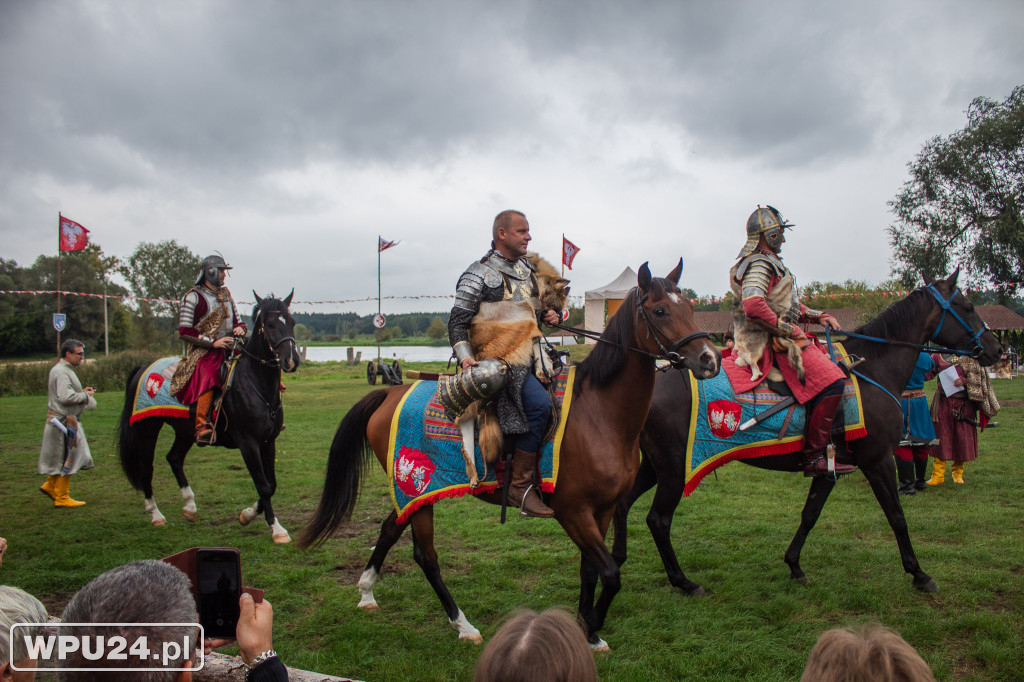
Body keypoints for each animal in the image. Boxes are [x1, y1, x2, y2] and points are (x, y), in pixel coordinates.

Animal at [299, 261, 724, 647]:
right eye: (660, 311)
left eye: (689, 307)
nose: (710, 359)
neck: (600, 413)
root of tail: (388, 394)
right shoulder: (572, 512)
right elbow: (609, 573)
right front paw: (592, 626)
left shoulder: (601, 511)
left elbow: (591, 570)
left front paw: (587, 629)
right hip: (419, 489)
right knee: (426, 556)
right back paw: (463, 625)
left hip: (413, 492)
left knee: (390, 528)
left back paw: (367, 591)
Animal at [610, 268, 1003, 593]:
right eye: (967, 306)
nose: (997, 348)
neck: (872, 371)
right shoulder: (878, 461)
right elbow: (897, 517)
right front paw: (919, 573)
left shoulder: (828, 465)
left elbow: (810, 514)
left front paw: (794, 565)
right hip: (675, 467)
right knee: (658, 519)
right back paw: (682, 581)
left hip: (655, 465)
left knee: (623, 504)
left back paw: (616, 561)